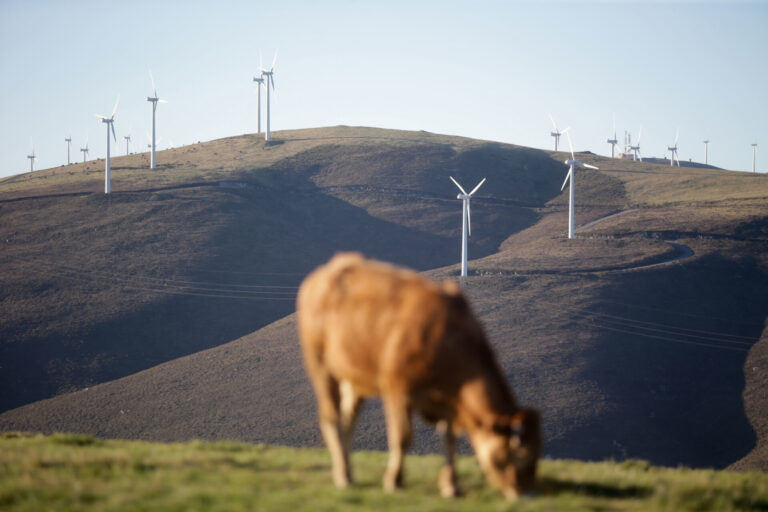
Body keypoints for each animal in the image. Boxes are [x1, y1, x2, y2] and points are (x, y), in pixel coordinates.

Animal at [296, 253, 544, 500]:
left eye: (537, 455)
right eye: (517, 454)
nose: (527, 494)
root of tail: (325, 271)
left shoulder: (449, 402)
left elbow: (450, 438)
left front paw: (451, 486)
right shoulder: (398, 389)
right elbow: (402, 437)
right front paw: (394, 481)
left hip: (354, 376)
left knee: (349, 420)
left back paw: (347, 470)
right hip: (320, 366)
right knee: (331, 417)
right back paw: (343, 476)